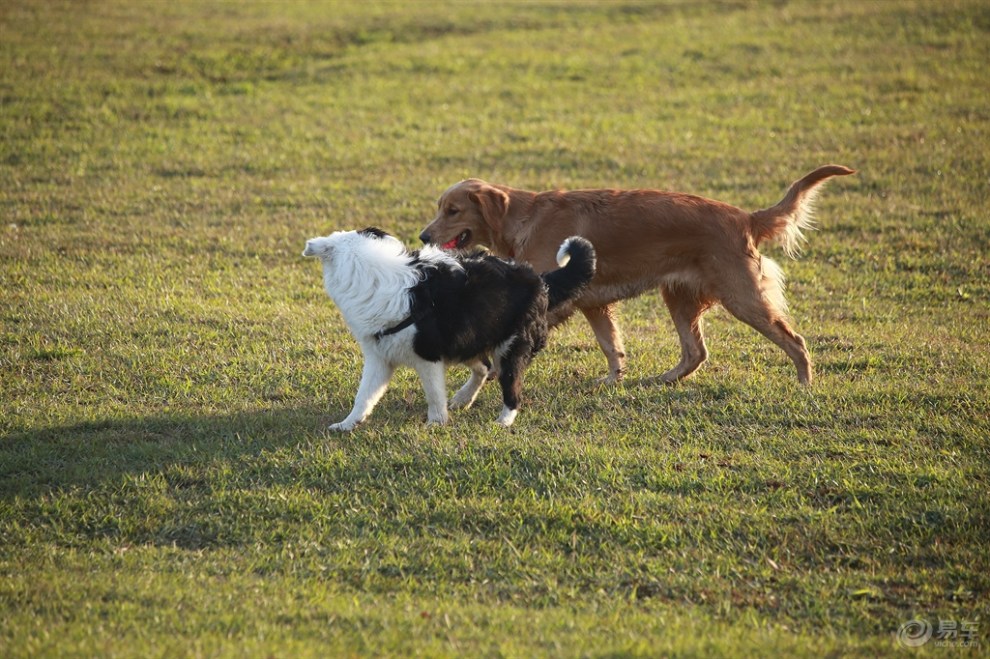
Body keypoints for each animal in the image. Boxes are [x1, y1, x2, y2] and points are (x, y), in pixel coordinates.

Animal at [302, 228, 596, 434]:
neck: (371, 274)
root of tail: (540, 280)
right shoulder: (379, 359)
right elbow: (363, 397)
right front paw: (347, 424)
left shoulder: (428, 357)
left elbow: (434, 395)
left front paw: (436, 422)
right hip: (467, 339)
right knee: (484, 368)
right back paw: (464, 398)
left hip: (509, 348)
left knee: (512, 390)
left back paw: (503, 421)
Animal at [418, 165, 852, 386]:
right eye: (440, 208)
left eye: (453, 210)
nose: (423, 236)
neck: (523, 217)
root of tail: (746, 217)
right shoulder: (593, 304)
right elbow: (612, 346)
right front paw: (613, 380)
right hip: (679, 297)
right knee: (695, 352)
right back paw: (661, 380)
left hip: (744, 298)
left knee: (795, 341)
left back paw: (804, 384)